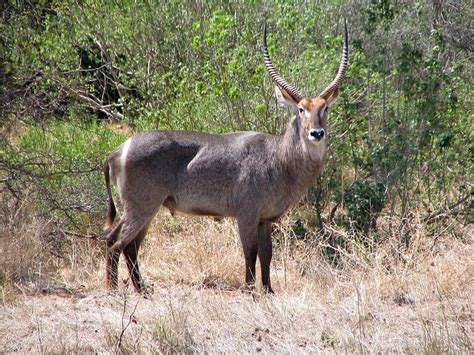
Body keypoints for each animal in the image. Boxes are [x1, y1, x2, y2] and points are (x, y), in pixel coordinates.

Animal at [103, 20, 348, 294]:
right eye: (301, 109)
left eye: (325, 108)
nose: (316, 133)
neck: (279, 159)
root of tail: (119, 149)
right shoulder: (246, 213)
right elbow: (250, 252)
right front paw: (251, 290)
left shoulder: (265, 219)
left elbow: (267, 254)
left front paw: (269, 290)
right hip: (140, 205)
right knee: (113, 242)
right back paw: (113, 289)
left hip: (147, 207)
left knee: (130, 246)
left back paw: (142, 289)